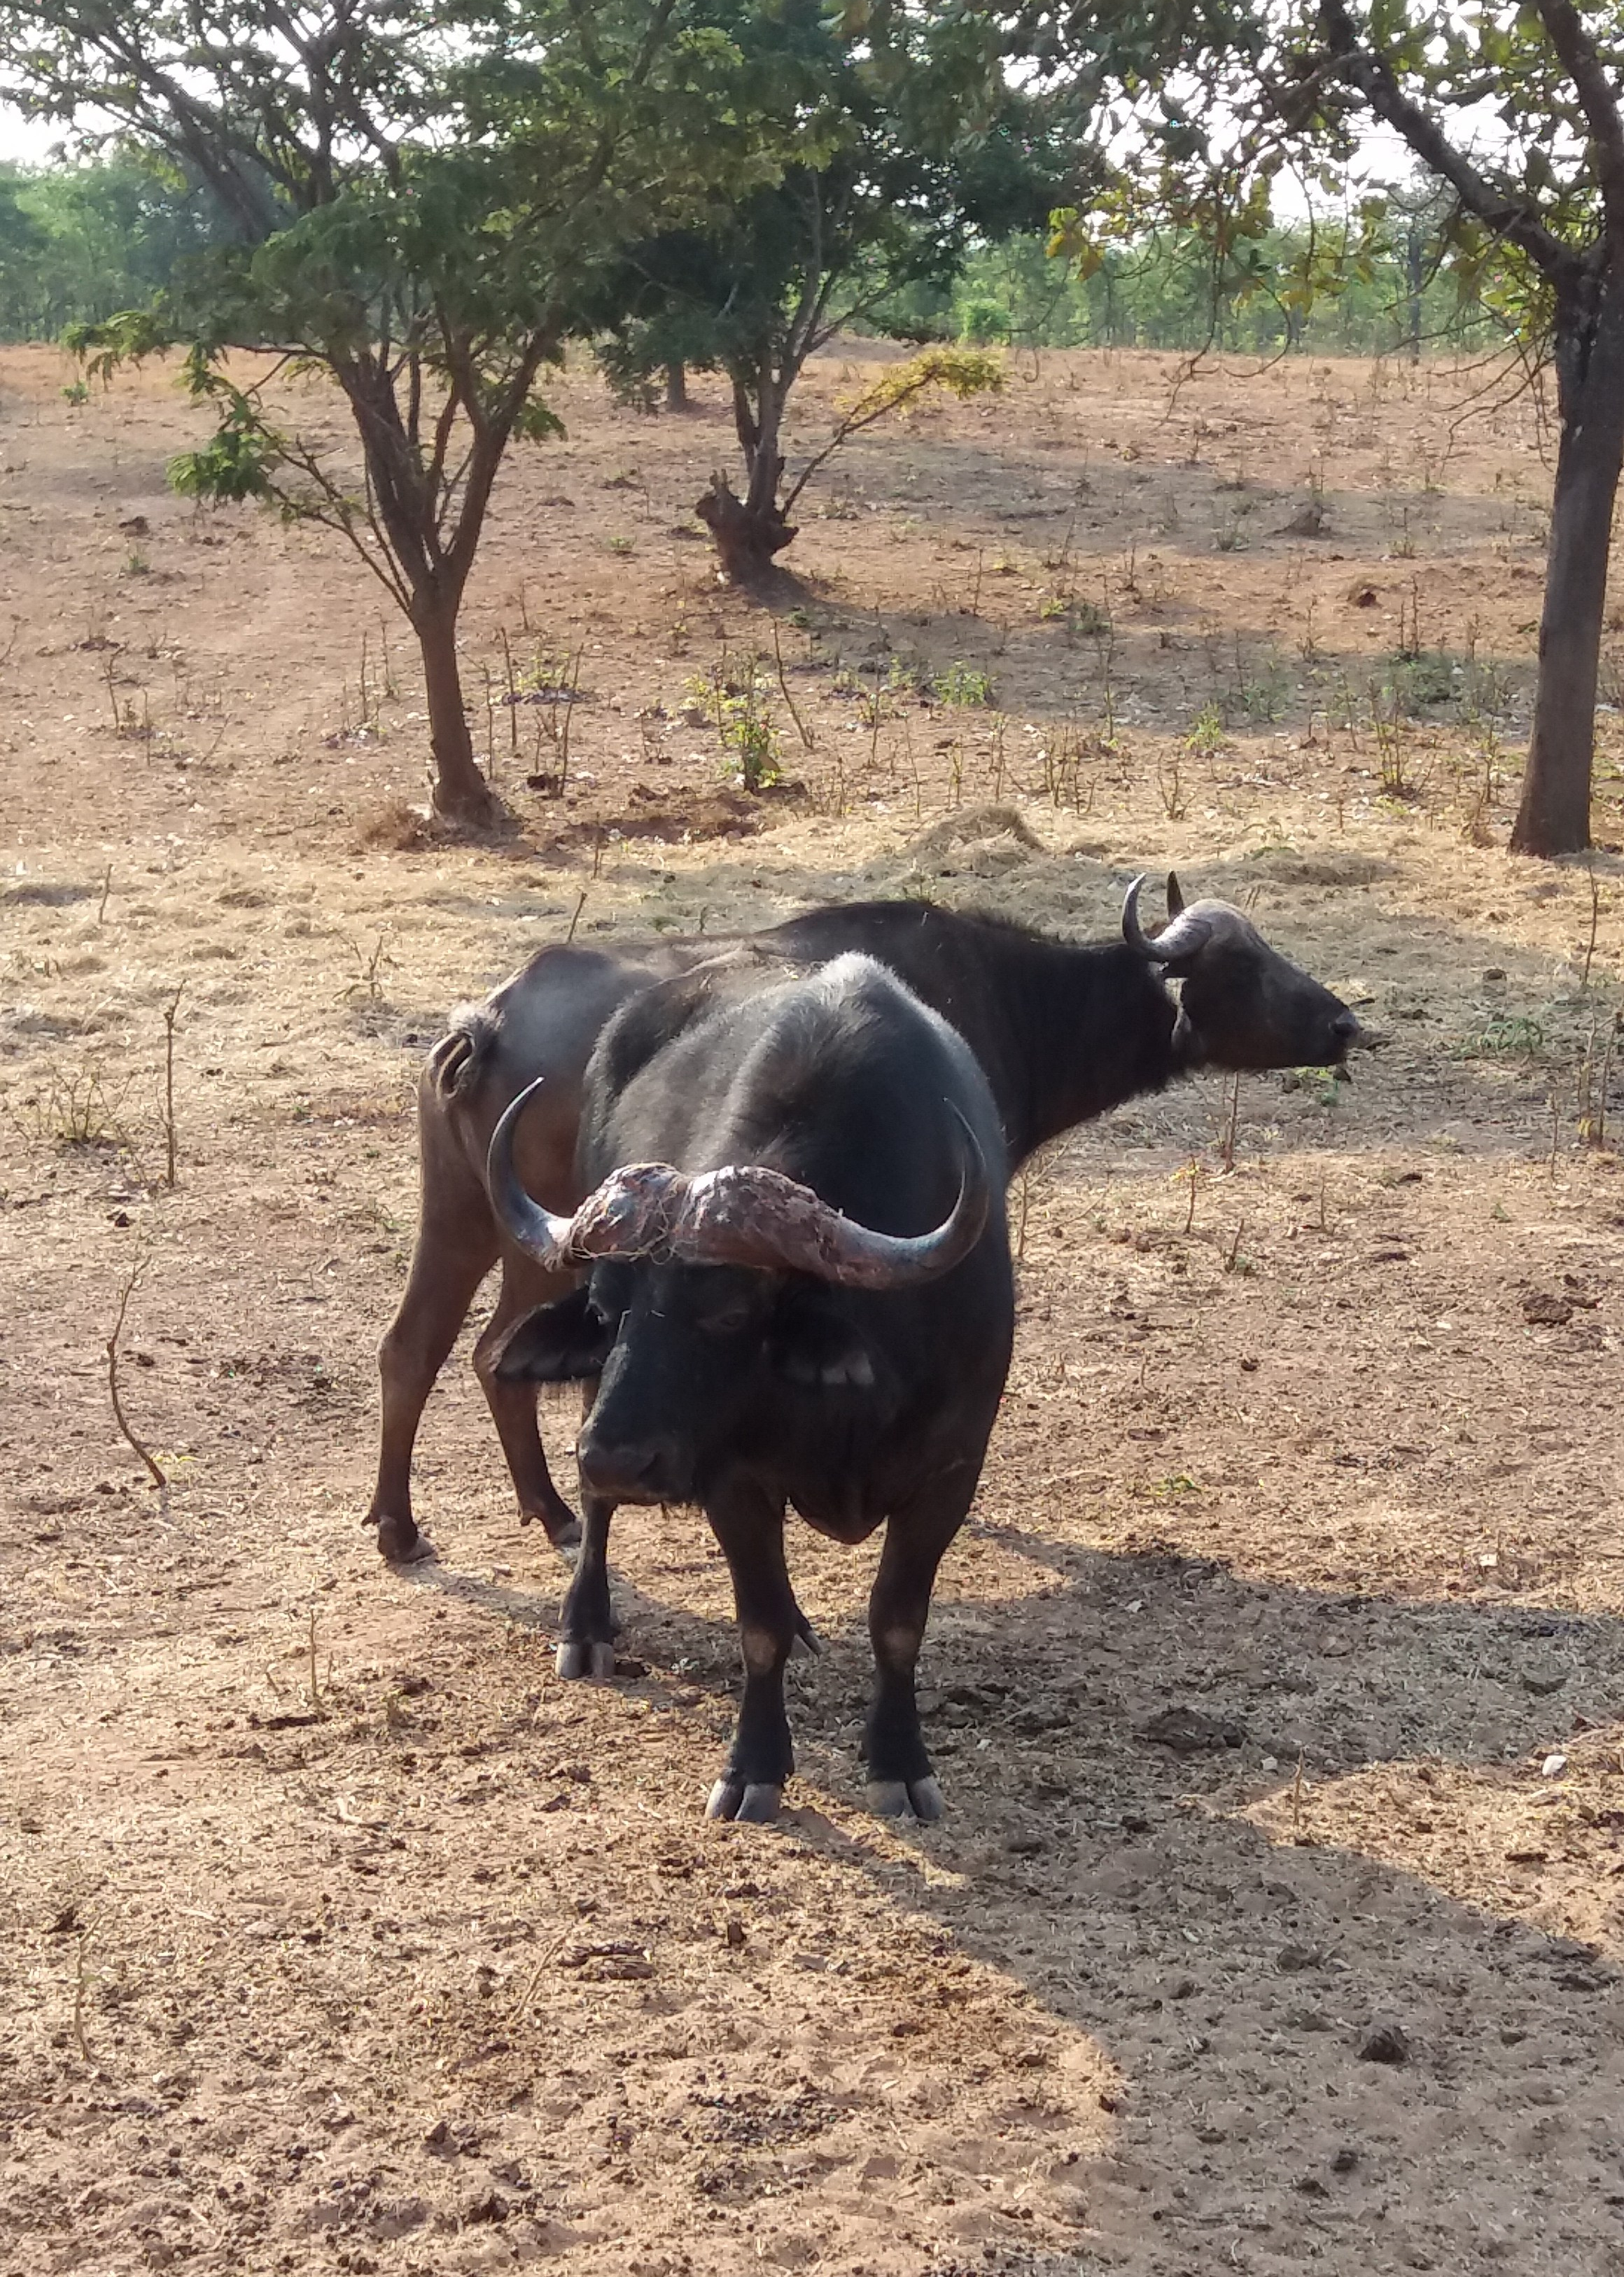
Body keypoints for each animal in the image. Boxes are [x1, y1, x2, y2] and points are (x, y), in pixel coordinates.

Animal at [367, 876, 1365, 1563]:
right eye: (1246, 966)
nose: (1344, 1023)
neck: (1004, 996)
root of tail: (486, 1022)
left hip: (469, 1219)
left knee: (427, 1348)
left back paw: (436, 1521)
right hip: (544, 1246)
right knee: (493, 1355)